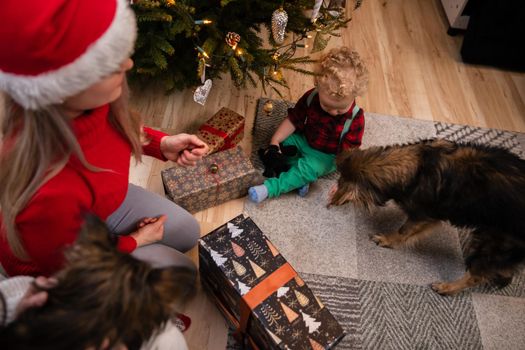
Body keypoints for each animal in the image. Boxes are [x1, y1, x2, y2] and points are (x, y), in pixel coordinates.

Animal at [330, 139, 524, 296]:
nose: (333, 199)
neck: (417, 169)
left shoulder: (423, 217)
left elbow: (403, 231)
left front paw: (386, 240)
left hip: (493, 244)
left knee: (477, 276)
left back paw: (447, 288)